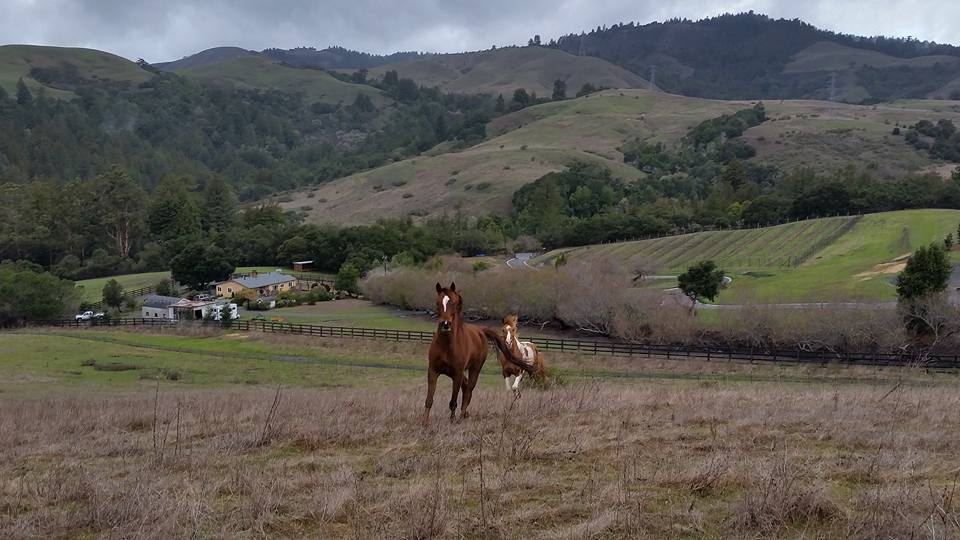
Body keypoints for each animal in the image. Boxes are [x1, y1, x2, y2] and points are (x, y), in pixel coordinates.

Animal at [423, 282, 533, 426]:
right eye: (437, 302)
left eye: (453, 302)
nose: (446, 324)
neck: (446, 345)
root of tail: (480, 331)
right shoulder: (433, 370)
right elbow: (429, 400)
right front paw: (424, 423)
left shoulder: (457, 373)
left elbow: (453, 402)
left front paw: (452, 421)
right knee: (466, 387)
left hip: (474, 368)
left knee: (469, 389)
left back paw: (462, 416)